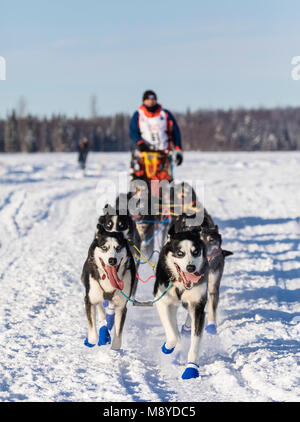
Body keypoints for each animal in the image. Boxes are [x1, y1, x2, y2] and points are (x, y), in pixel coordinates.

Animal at [152, 231, 209, 380]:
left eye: (195, 252)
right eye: (180, 253)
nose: (191, 267)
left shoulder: (198, 306)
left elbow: (195, 342)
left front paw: (191, 368)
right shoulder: (161, 301)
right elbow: (173, 335)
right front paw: (168, 347)